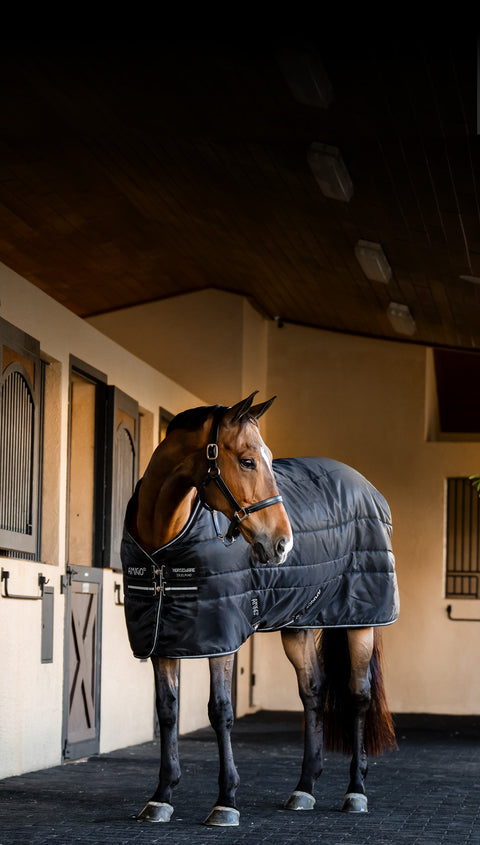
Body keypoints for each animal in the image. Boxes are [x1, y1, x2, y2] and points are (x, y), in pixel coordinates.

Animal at [120, 391, 399, 826]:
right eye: (248, 460)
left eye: (267, 458)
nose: (282, 543)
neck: (162, 550)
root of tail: (368, 488)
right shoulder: (163, 639)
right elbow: (167, 711)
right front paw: (161, 797)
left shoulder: (221, 639)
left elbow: (220, 711)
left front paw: (226, 802)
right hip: (299, 625)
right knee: (313, 691)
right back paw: (304, 789)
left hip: (360, 622)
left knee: (358, 696)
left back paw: (355, 791)